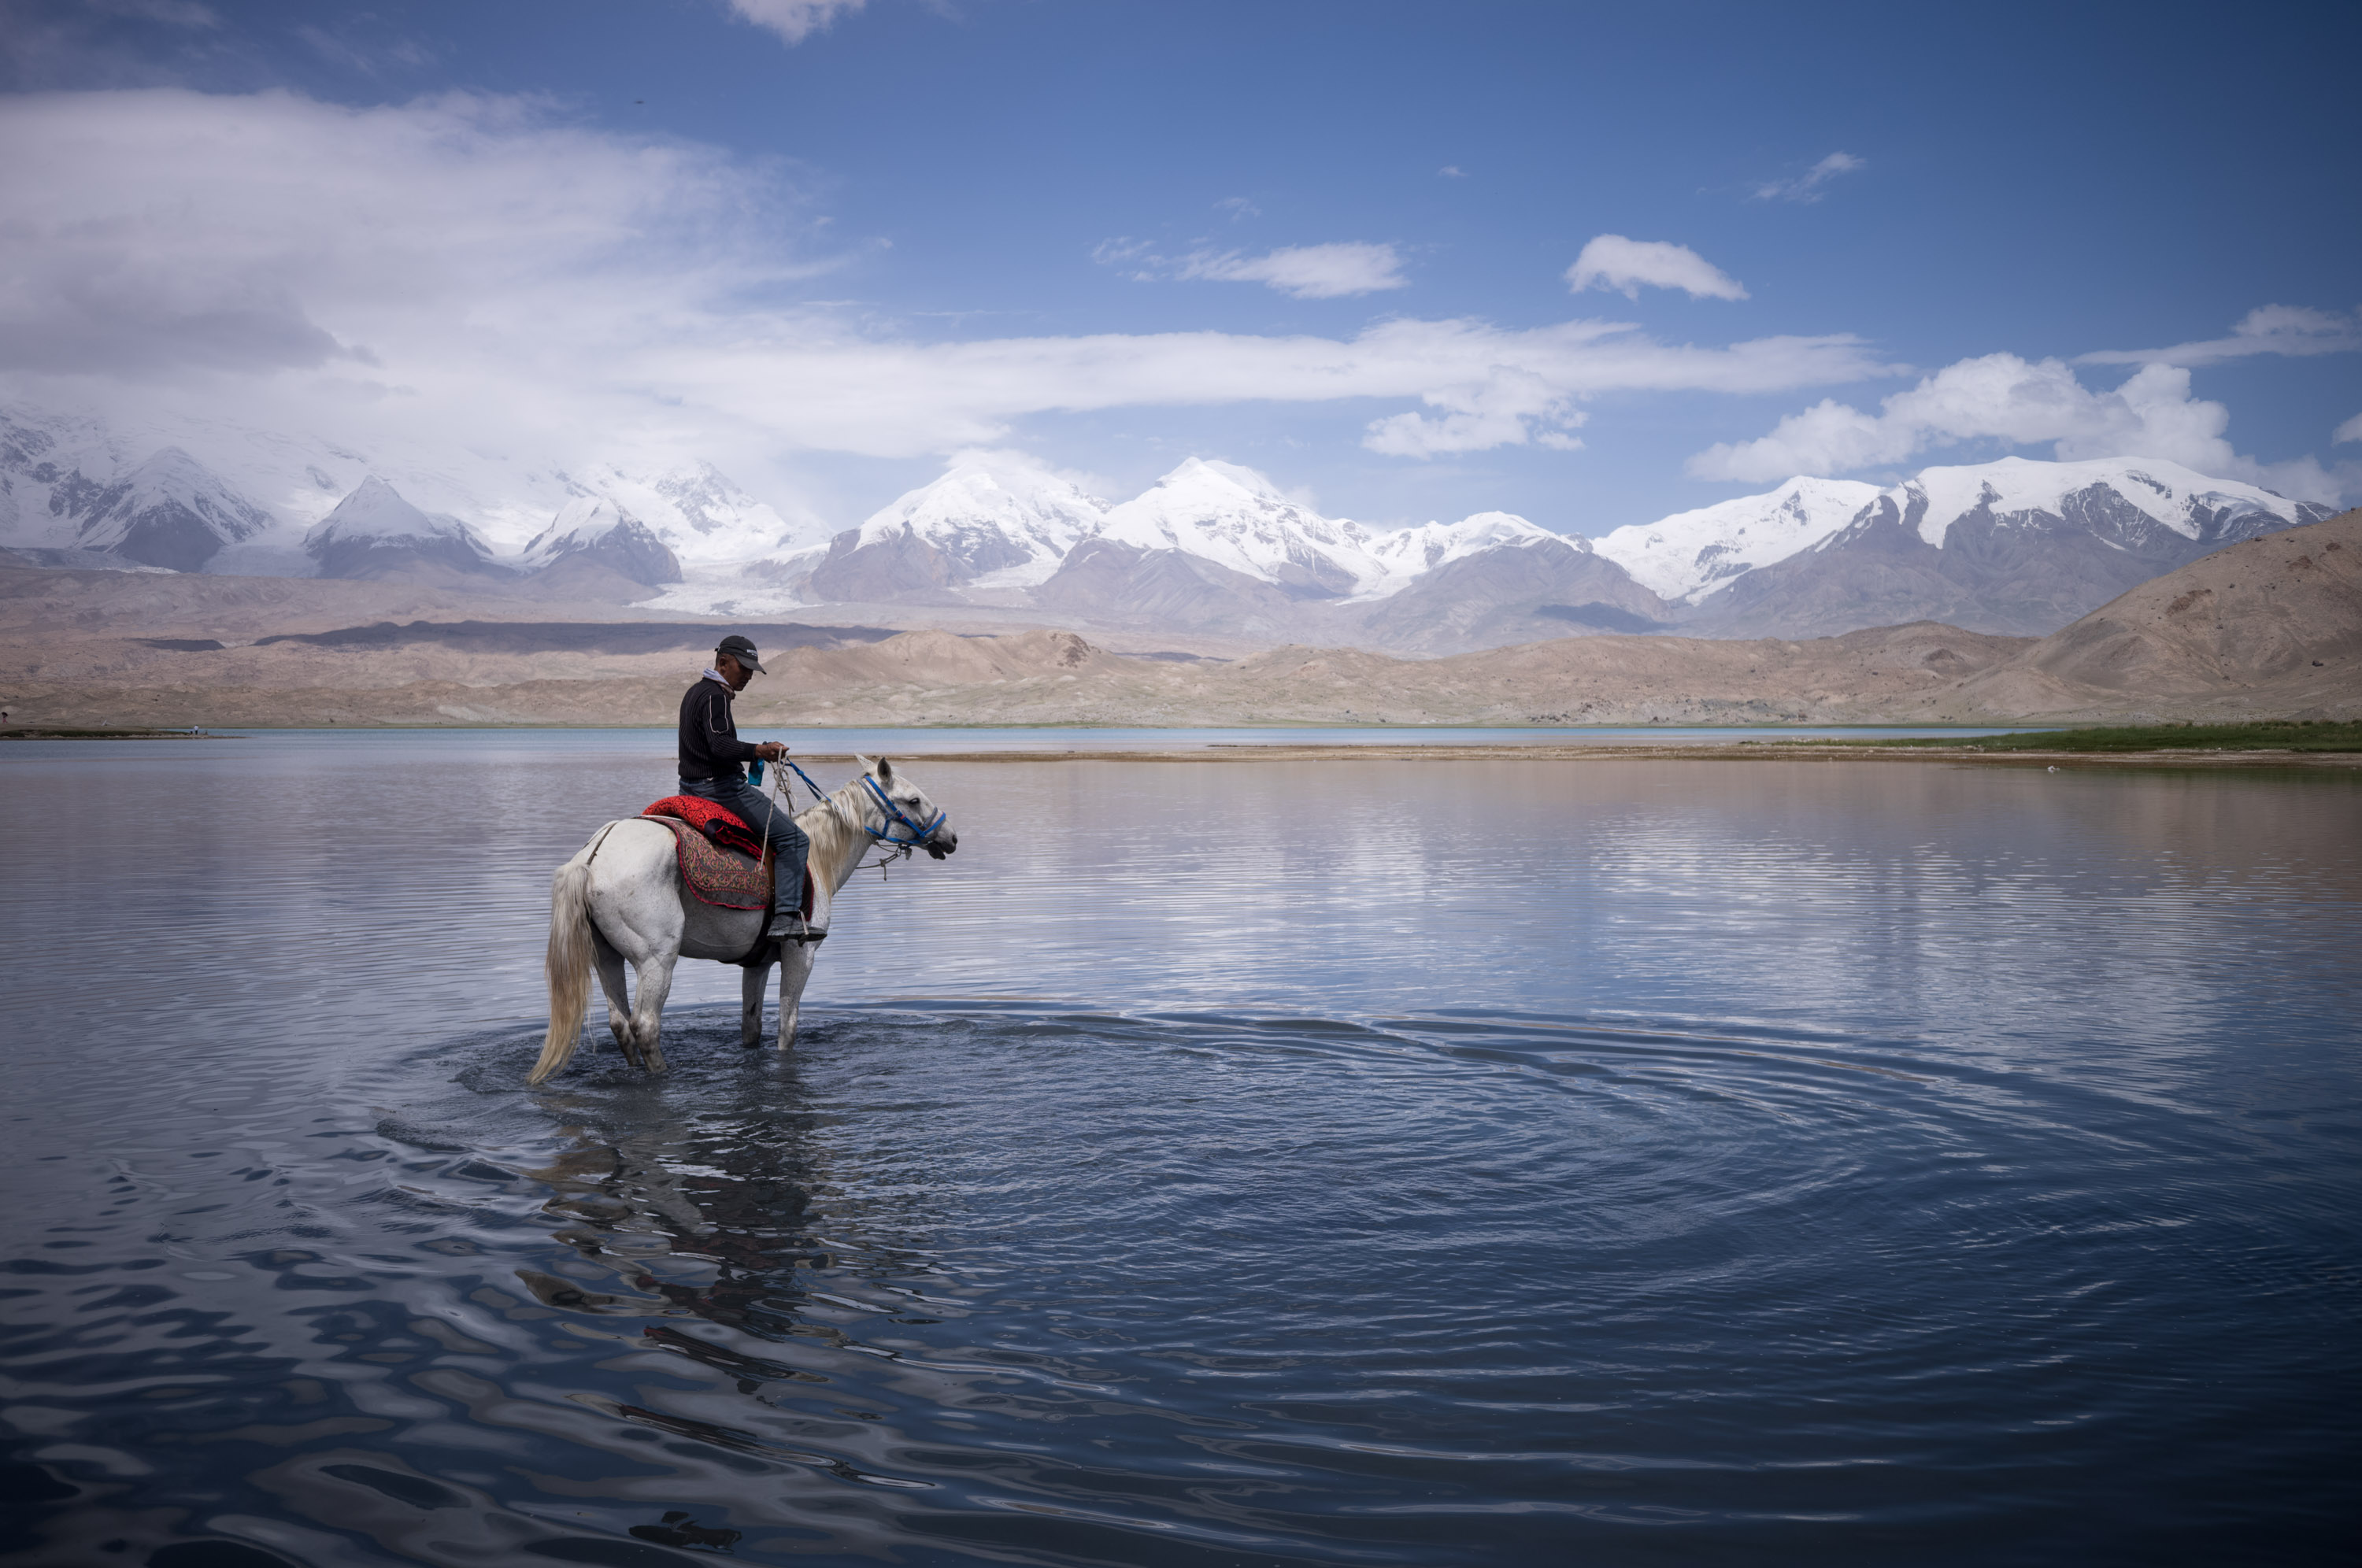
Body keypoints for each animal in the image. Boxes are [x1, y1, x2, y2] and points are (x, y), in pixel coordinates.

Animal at [528, 757, 957, 1084]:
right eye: (913, 800)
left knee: (619, 1025)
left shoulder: (758, 963)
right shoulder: (800, 955)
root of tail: (592, 856)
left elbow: (752, 1027)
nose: (950, 837)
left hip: (606, 958)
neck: (817, 857)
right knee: (645, 1025)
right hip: (655, 960)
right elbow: (788, 1026)